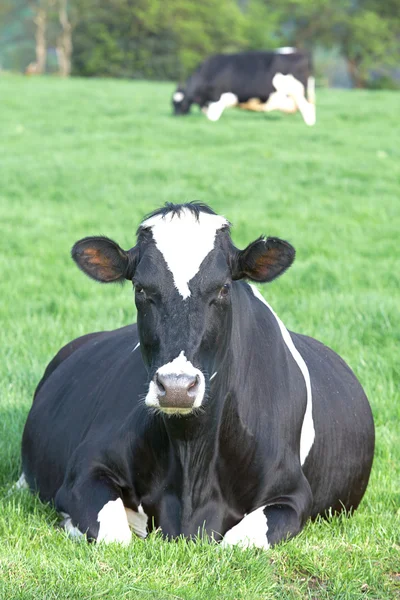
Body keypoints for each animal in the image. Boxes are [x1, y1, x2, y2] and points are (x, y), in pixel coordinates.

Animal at [20, 203, 374, 548]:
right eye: (140, 288)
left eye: (223, 288)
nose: (177, 387)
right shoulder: (84, 471)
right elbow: (114, 534)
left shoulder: (292, 495)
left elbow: (238, 544)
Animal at [172, 49, 316, 127]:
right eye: (172, 103)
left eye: (182, 104)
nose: (175, 116)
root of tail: (300, 53)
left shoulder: (217, 100)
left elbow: (212, 118)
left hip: (298, 93)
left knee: (307, 108)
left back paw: (309, 125)